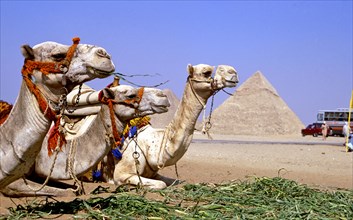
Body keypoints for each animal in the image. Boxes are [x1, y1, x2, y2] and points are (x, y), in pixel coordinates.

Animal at [109, 63, 239, 189]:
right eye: (206, 72)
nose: (232, 71)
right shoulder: (122, 173)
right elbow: (161, 184)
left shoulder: (154, 173)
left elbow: (177, 181)